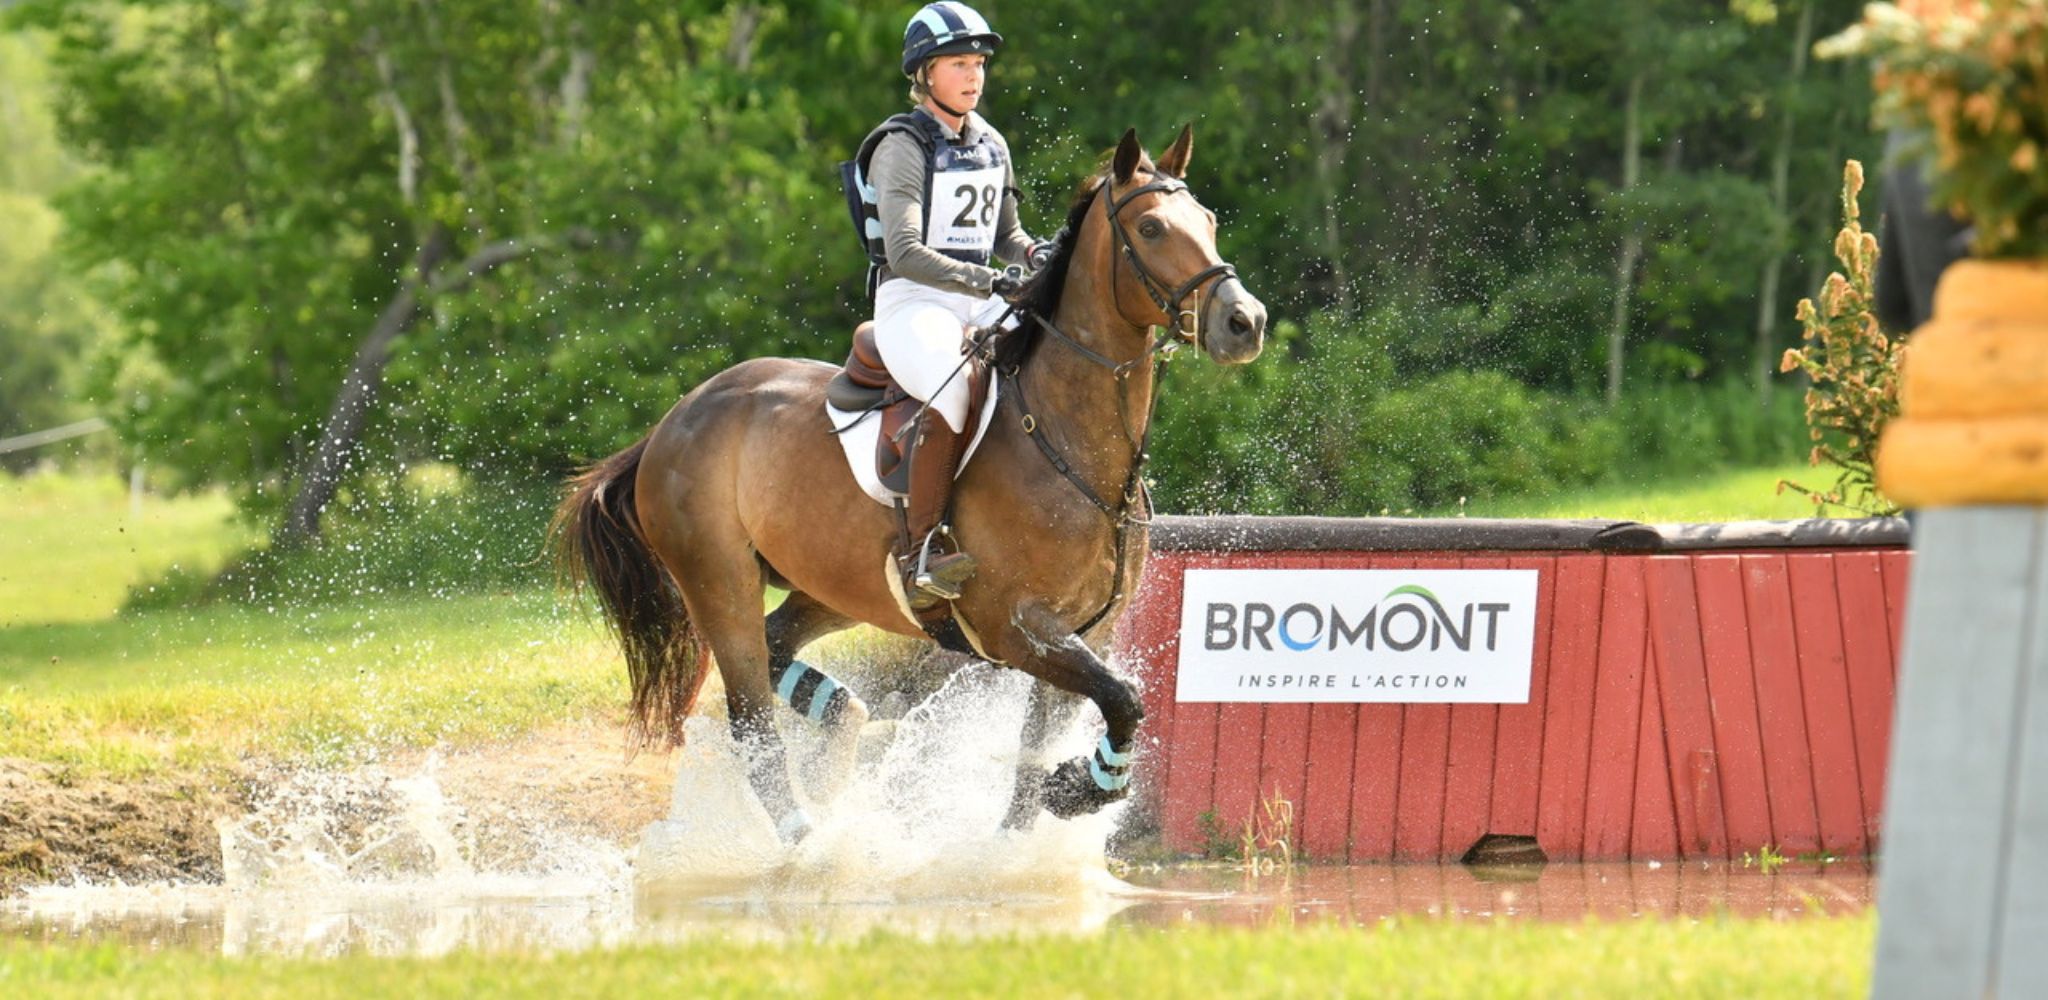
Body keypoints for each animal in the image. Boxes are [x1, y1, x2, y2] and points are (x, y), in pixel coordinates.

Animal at [553, 126, 1267, 842]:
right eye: (1150, 228)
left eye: (1207, 221)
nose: (1246, 322)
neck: (1072, 446)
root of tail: (670, 423)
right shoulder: (1016, 628)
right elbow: (1125, 699)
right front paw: (1077, 791)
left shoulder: (1090, 631)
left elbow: (1044, 756)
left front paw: (1039, 820)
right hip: (717, 580)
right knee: (753, 724)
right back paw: (811, 846)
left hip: (834, 582)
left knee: (778, 644)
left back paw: (842, 728)